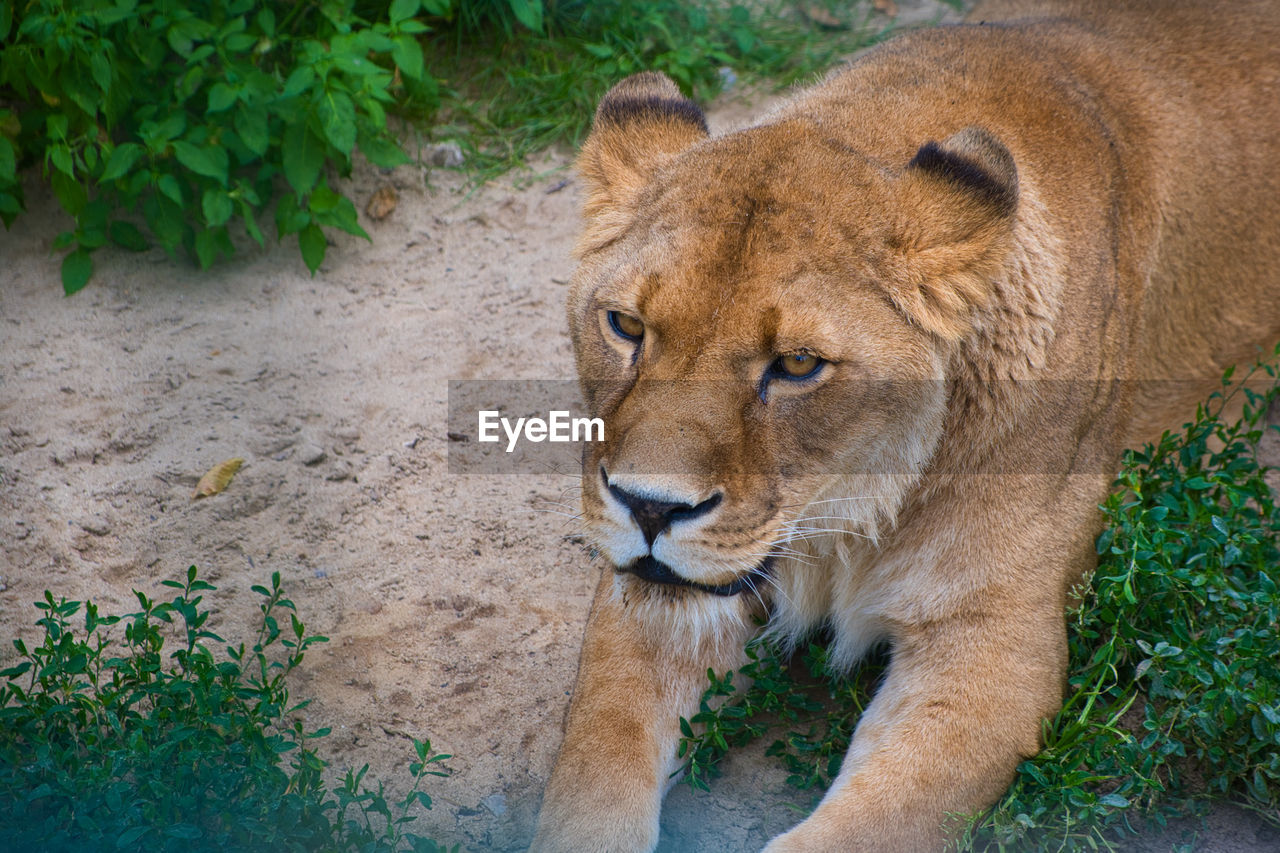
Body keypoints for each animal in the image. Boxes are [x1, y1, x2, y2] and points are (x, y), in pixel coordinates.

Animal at [527, 3, 1280, 845]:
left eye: (797, 364)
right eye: (626, 325)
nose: (650, 508)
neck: (843, 519)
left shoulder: (992, 645)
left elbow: (868, 825)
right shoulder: (656, 604)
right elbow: (596, 777)